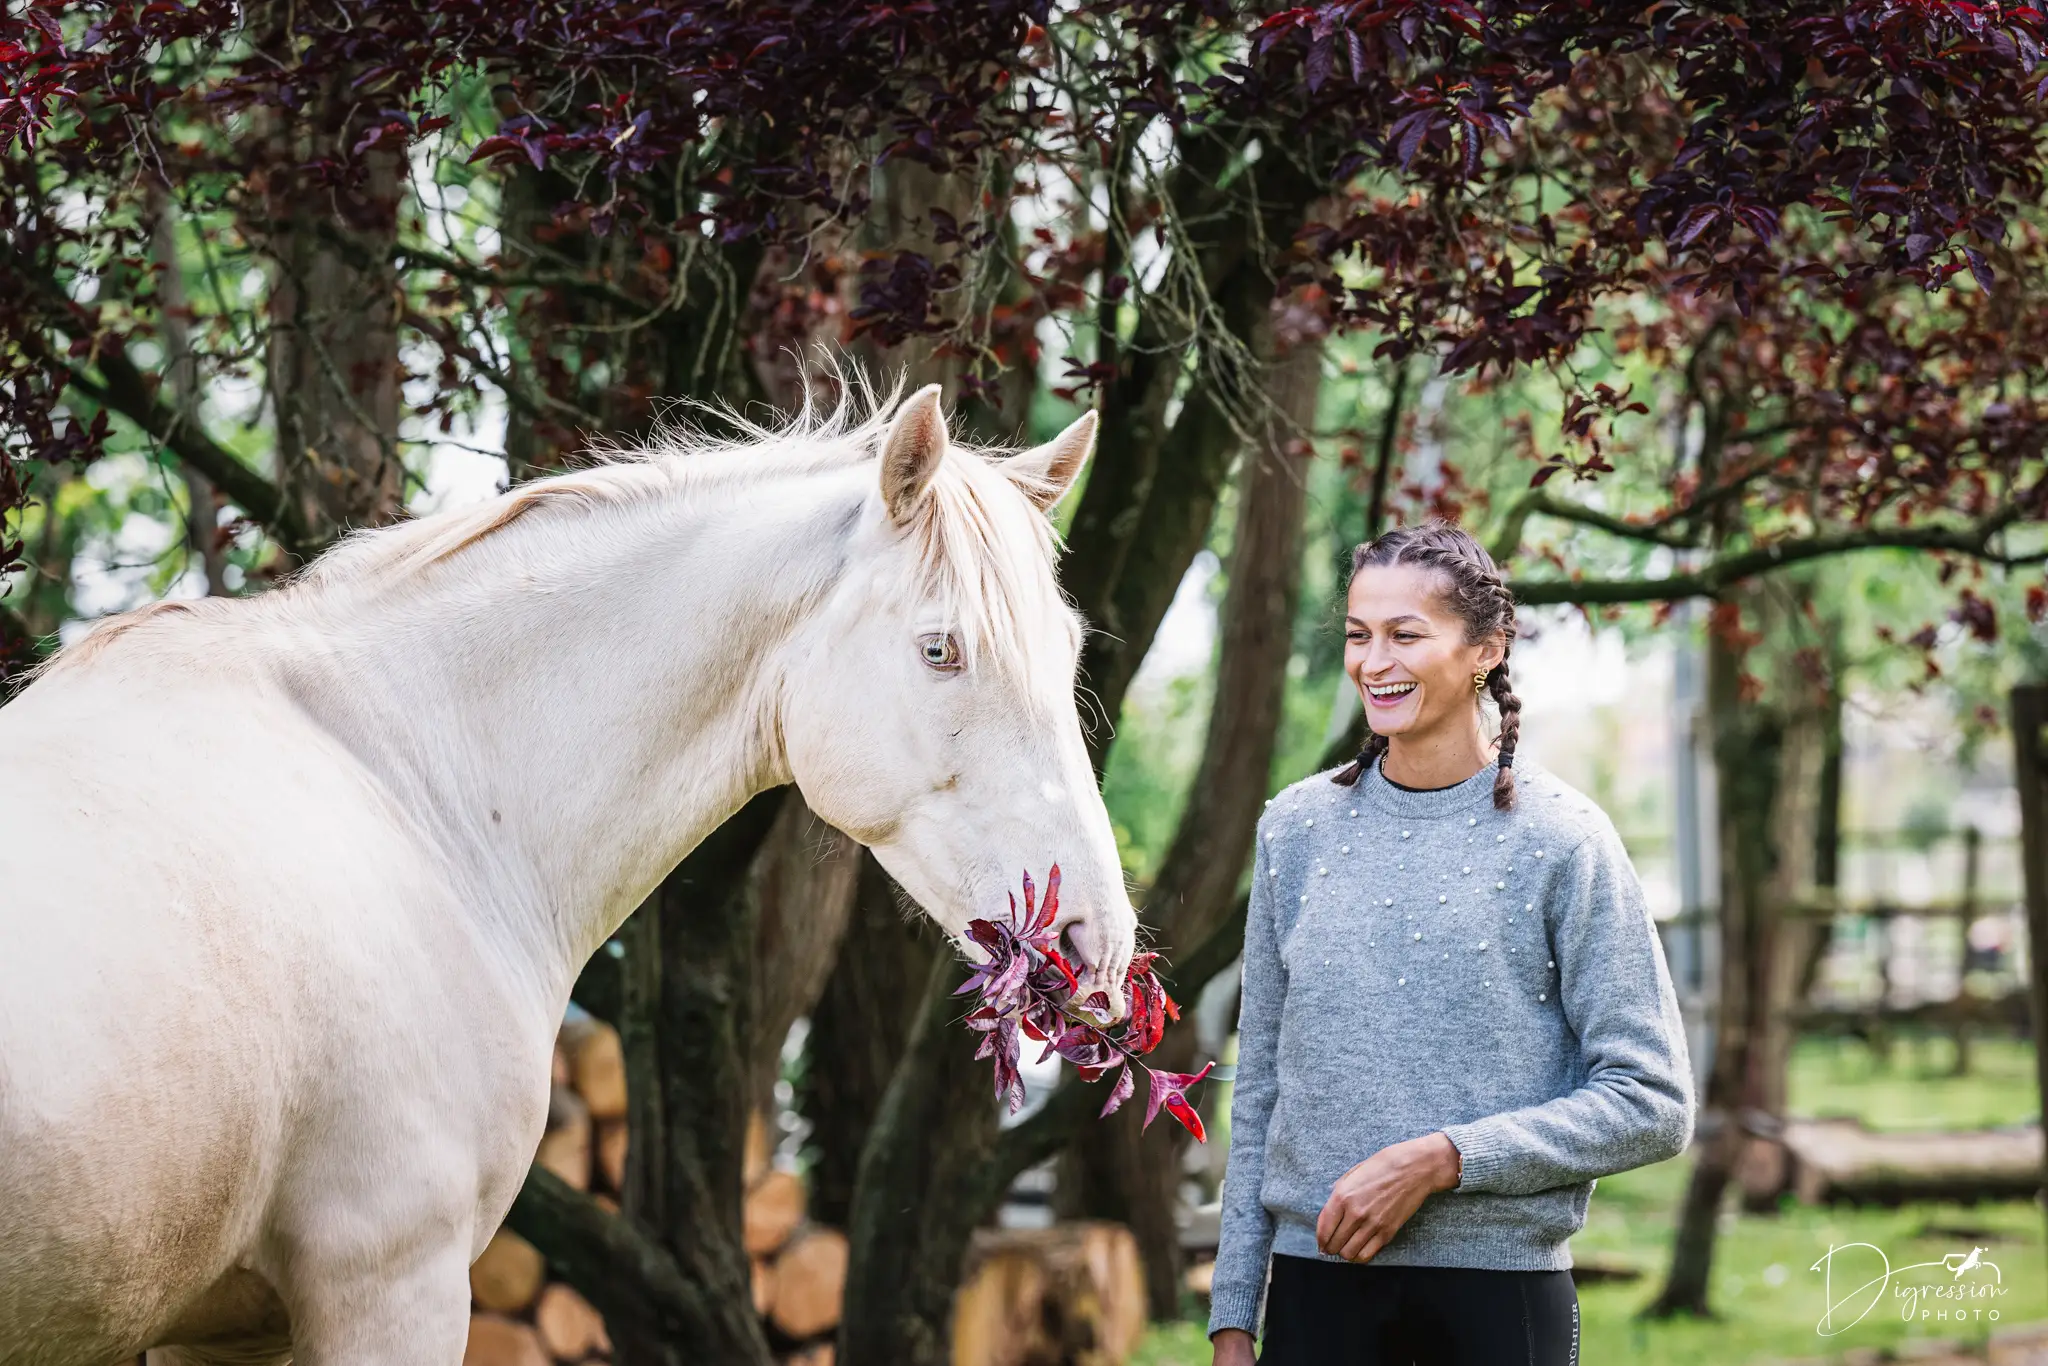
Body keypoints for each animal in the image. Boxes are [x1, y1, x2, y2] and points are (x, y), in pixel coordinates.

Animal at [0, 382, 1138, 1366]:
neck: (409, 785)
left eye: (1068, 645)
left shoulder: (224, 1326)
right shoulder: (389, 1289)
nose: (1093, 937)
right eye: (940, 649)